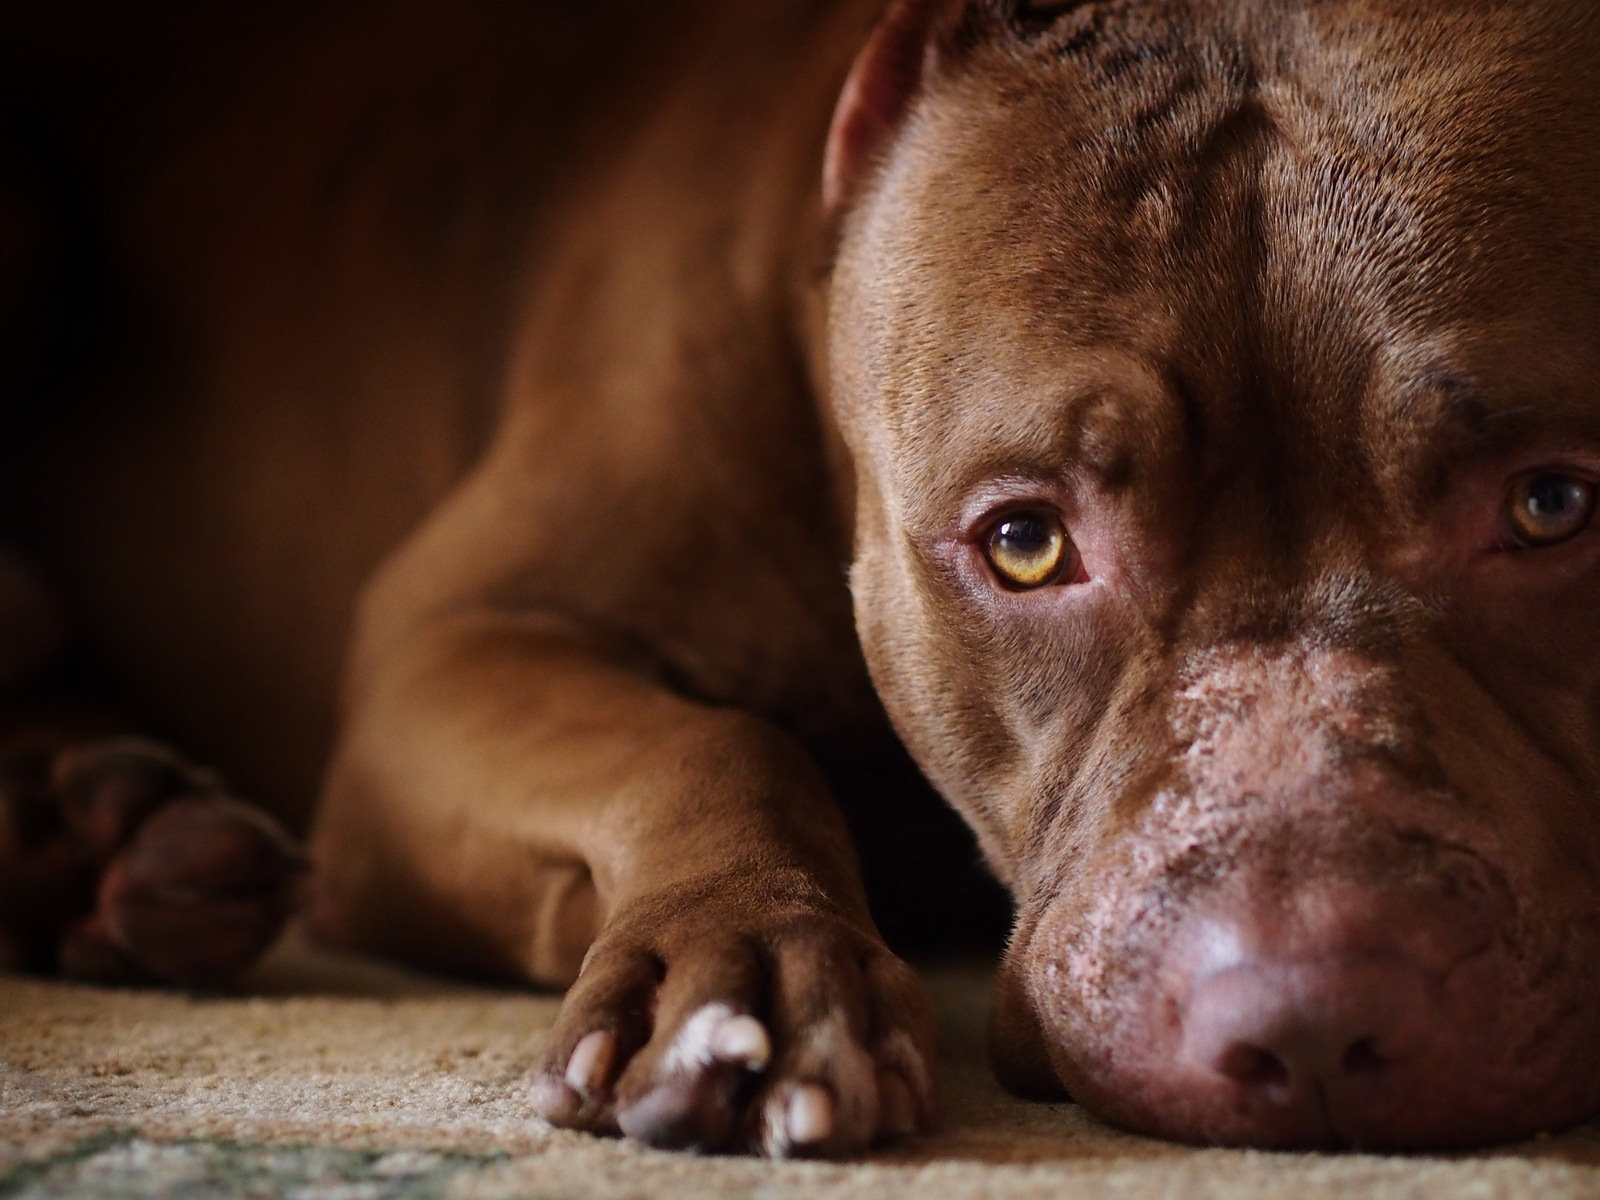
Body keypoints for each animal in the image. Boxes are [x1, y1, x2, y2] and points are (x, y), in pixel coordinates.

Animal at [4, 0, 1600, 1158]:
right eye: (1025, 542)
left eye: (1554, 504)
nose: (1318, 1011)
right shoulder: (457, 643)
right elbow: (715, 738)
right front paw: (751, 965)